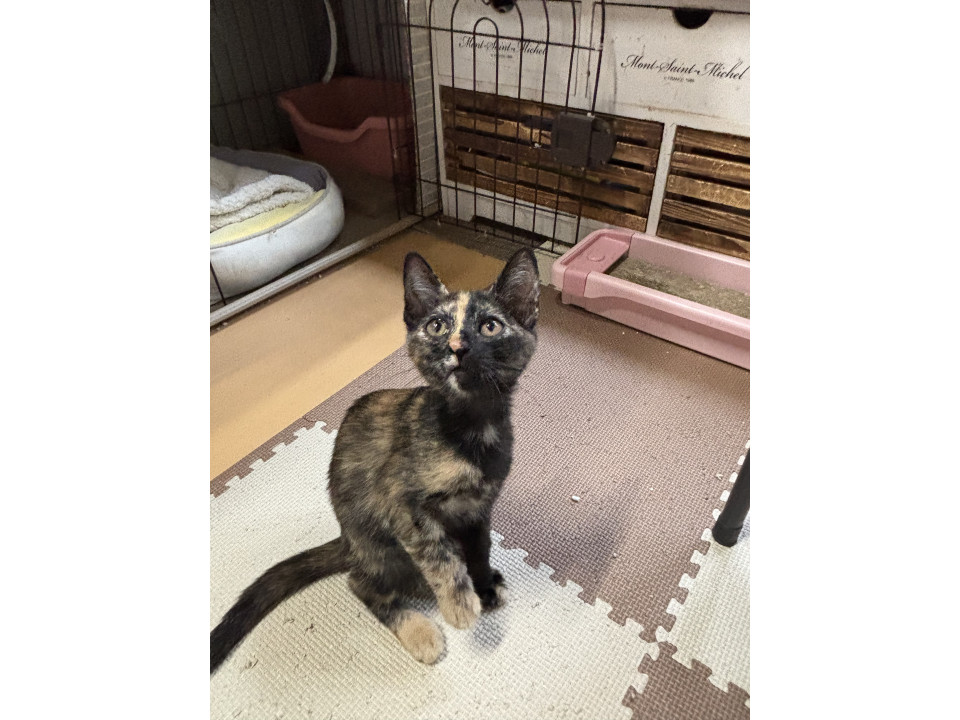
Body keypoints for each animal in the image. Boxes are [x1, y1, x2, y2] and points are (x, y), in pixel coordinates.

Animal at [211, 248, 540, 672]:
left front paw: (482, 584)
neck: (472, 428)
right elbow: (440, 554)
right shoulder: (401, 503)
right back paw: (420, 632)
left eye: (490, 326)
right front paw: (460, 604)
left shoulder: (480, 507)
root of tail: (348, 542)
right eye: (436, 326)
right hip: (381, 545)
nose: (456, 346)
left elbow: (480, 547)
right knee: (360, 584)